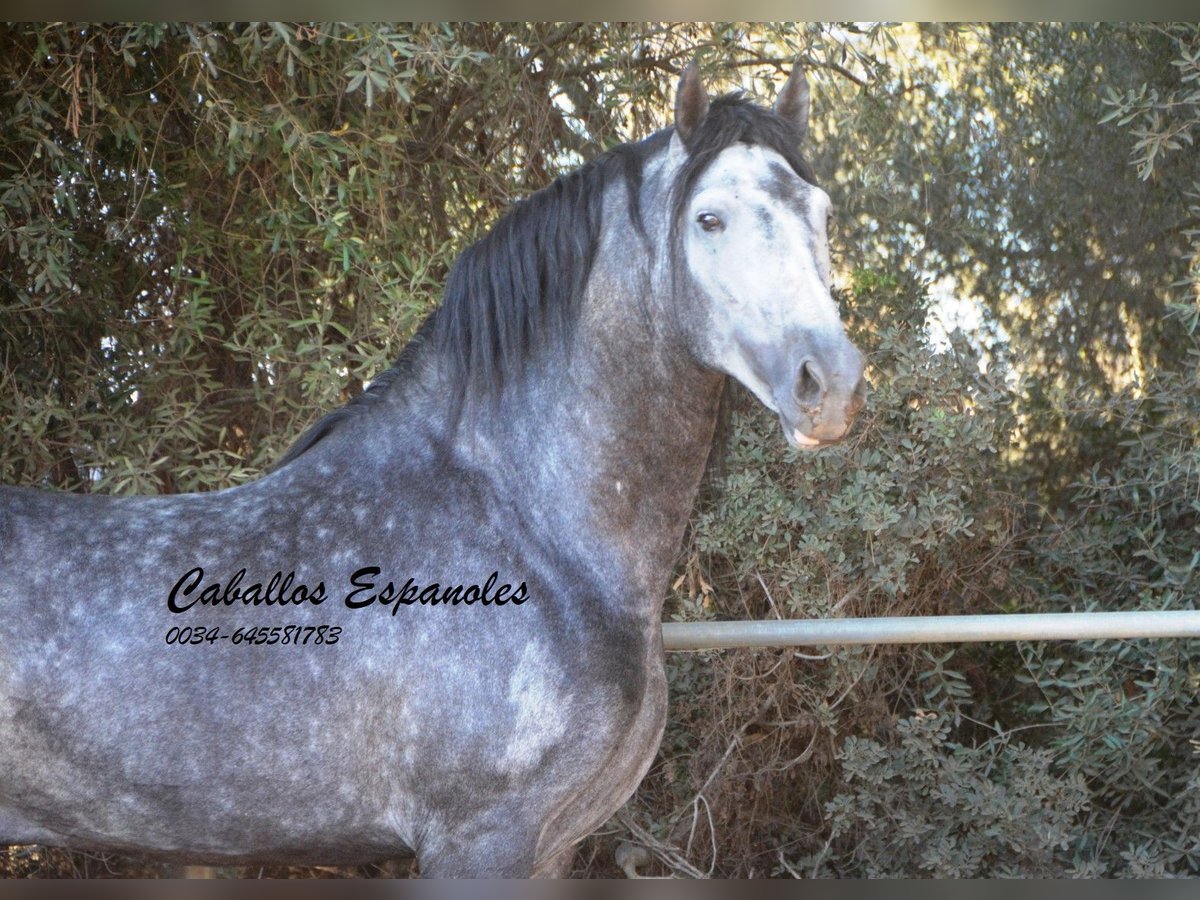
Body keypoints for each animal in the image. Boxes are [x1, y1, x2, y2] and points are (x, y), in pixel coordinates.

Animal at [0, 65, 864, 883]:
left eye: (822, 215)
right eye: (708, 218)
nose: (830, 382)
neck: (529, 530)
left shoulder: (551, 846)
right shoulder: (480, 841)